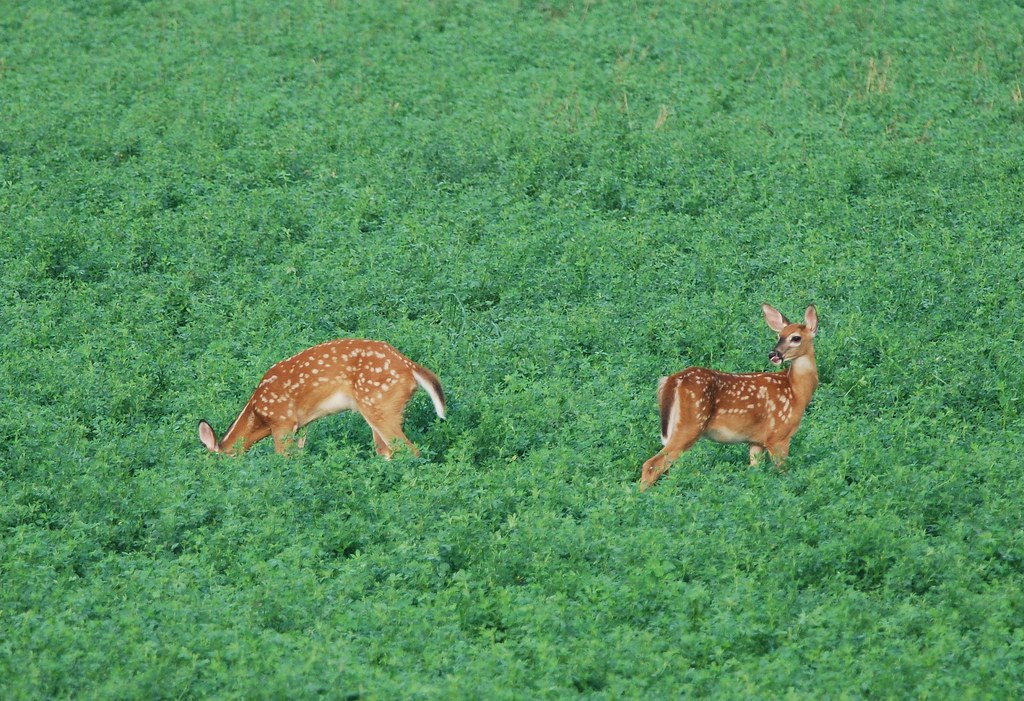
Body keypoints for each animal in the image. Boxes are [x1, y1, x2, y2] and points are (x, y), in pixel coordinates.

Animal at [198, 339, 445, 458]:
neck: (258, 413)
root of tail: (409, 366)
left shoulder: (282, 420)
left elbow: (282, 457)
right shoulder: (301, 426)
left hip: (378, 403)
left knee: (408, 450)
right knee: (386, 451)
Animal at [640, 304, 818, 490]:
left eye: (796, 338)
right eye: (779, 336)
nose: (773, 354)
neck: (796, 391)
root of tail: (672, 380)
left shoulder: (756, 441)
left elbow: (754, 471)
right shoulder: (779, 436)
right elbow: (783, 473)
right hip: (690, 424)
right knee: (652, 464)